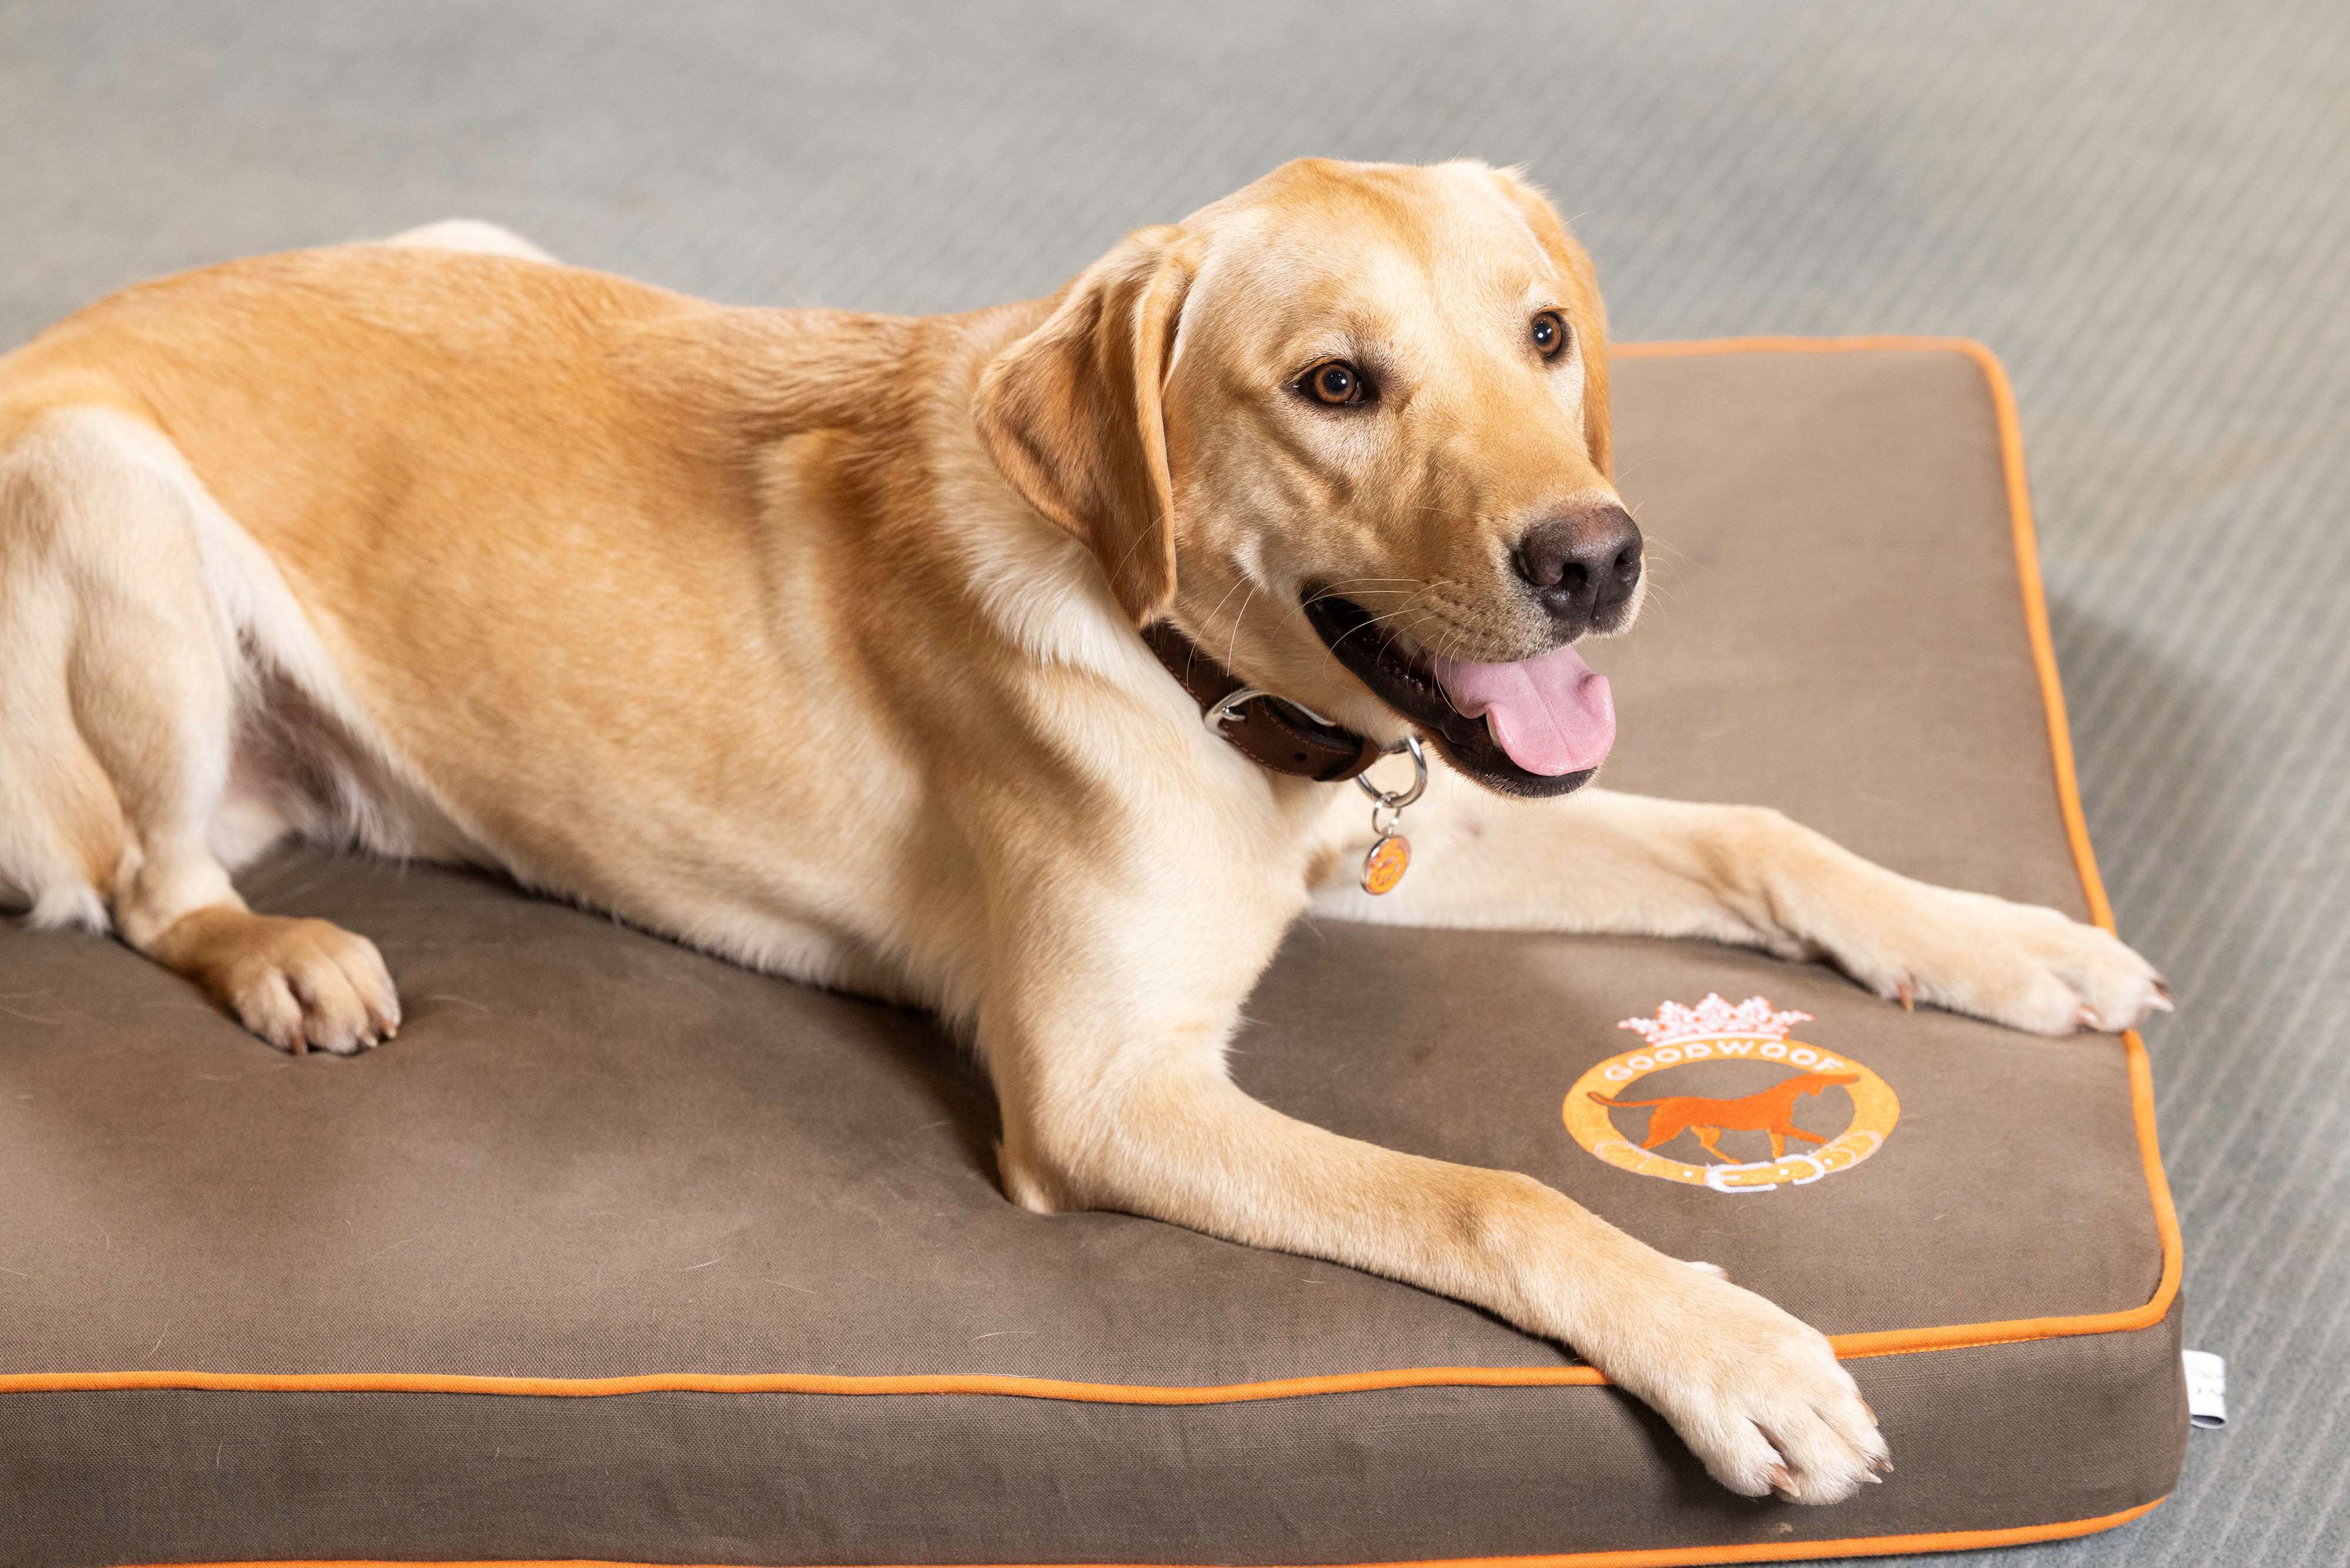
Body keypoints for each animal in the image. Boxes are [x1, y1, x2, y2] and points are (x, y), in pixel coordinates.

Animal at [0, 162, 2162, 1504]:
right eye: (1336, 384)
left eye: (1547, 336)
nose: (1597, 558)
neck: (1202, 679)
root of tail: (42, 338)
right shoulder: (1109, 1093)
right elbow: (1495, 1196)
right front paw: (1735, 1349)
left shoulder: (1415, 820)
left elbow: (1759, 827)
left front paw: (2002, 937)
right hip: (109, 488)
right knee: (150, 886)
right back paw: (287, 955)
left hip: (468, 237)